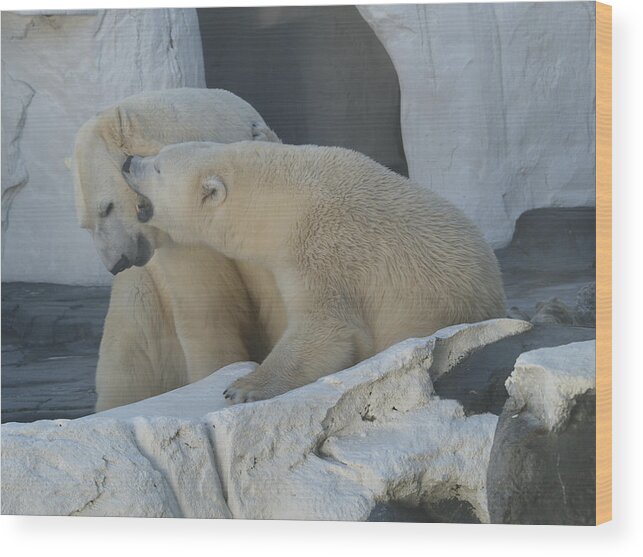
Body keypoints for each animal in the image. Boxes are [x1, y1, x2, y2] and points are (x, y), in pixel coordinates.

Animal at [71, 87, 288, 408]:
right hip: (143, 301)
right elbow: (207, 310)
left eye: (107, 207)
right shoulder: (184, 246)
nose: (117, 263)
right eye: (85, 224)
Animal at [122, 141, 508, 402]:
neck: (279, 200)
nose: (127, 160)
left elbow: (327, 327)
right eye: (157, 154)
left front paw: (245, 386)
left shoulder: (323, 249)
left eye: (158, 167)